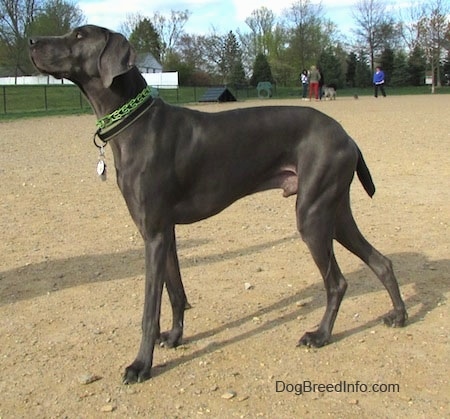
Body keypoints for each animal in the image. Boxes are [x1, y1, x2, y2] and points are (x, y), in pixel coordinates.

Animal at [29, 25, 408, 384]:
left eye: (79, 35)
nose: (31, 41)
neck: (137, 125)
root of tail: (347, 135)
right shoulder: (164, 232)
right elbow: (176, 292)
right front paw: (175, 337)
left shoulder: (153, 234)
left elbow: (149, 310)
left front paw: (140, 365)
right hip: (334, 211)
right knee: (381, 261)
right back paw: (400, 315)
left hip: (313, 216)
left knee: (337, 282)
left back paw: (321, 335)